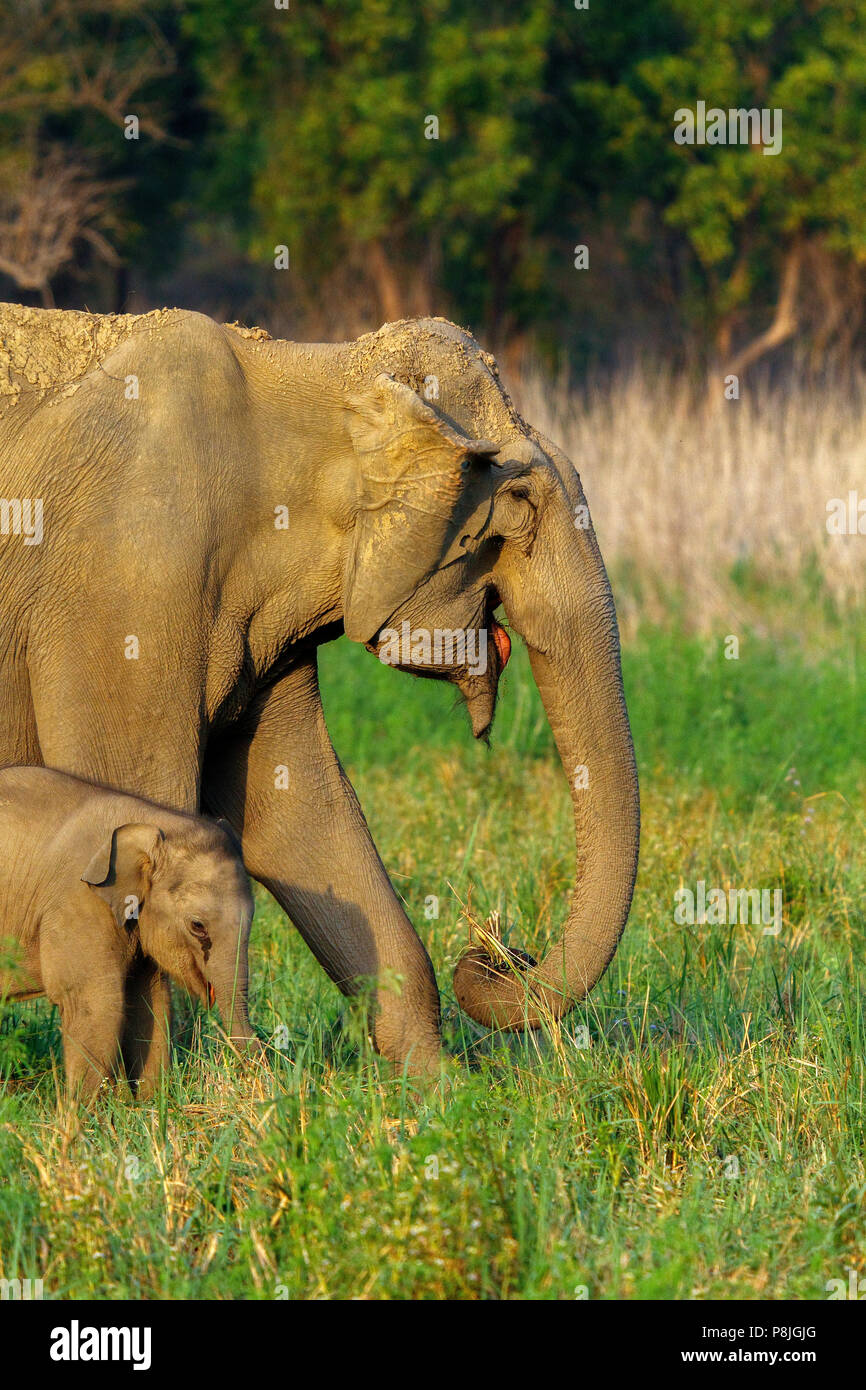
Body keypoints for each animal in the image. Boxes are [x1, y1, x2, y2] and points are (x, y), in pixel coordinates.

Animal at [0, 765, 256, 1099]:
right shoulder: (78, 902)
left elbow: (151, 1002)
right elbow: (95, 1004)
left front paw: (151, 1103)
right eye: (197, 926)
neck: (152, 822)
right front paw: (79, 1112)